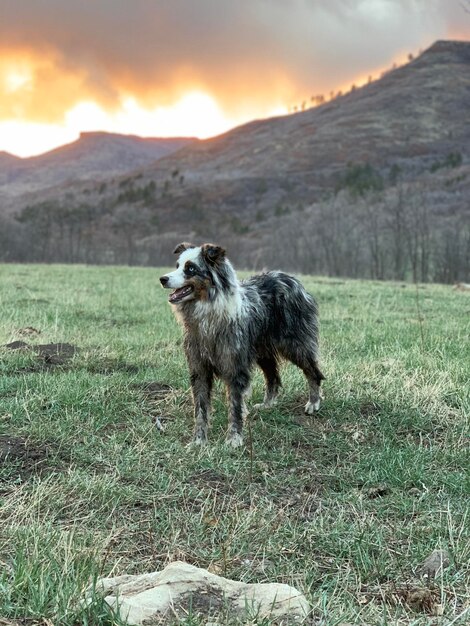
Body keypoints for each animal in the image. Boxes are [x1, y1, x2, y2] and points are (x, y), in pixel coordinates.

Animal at [160, 240, 324, 444]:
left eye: (190, 269)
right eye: (177, 266)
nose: (162, 279)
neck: (208, 313)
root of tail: (290, 278)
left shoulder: (235, 367)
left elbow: (235, 405)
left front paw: (234, 439)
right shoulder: (199, 369)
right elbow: (200, 408)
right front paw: (199, 440)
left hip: (295, 344)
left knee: (313, 371)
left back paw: (313, 402)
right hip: (261, 350)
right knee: (273, 376)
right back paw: (267, 404)